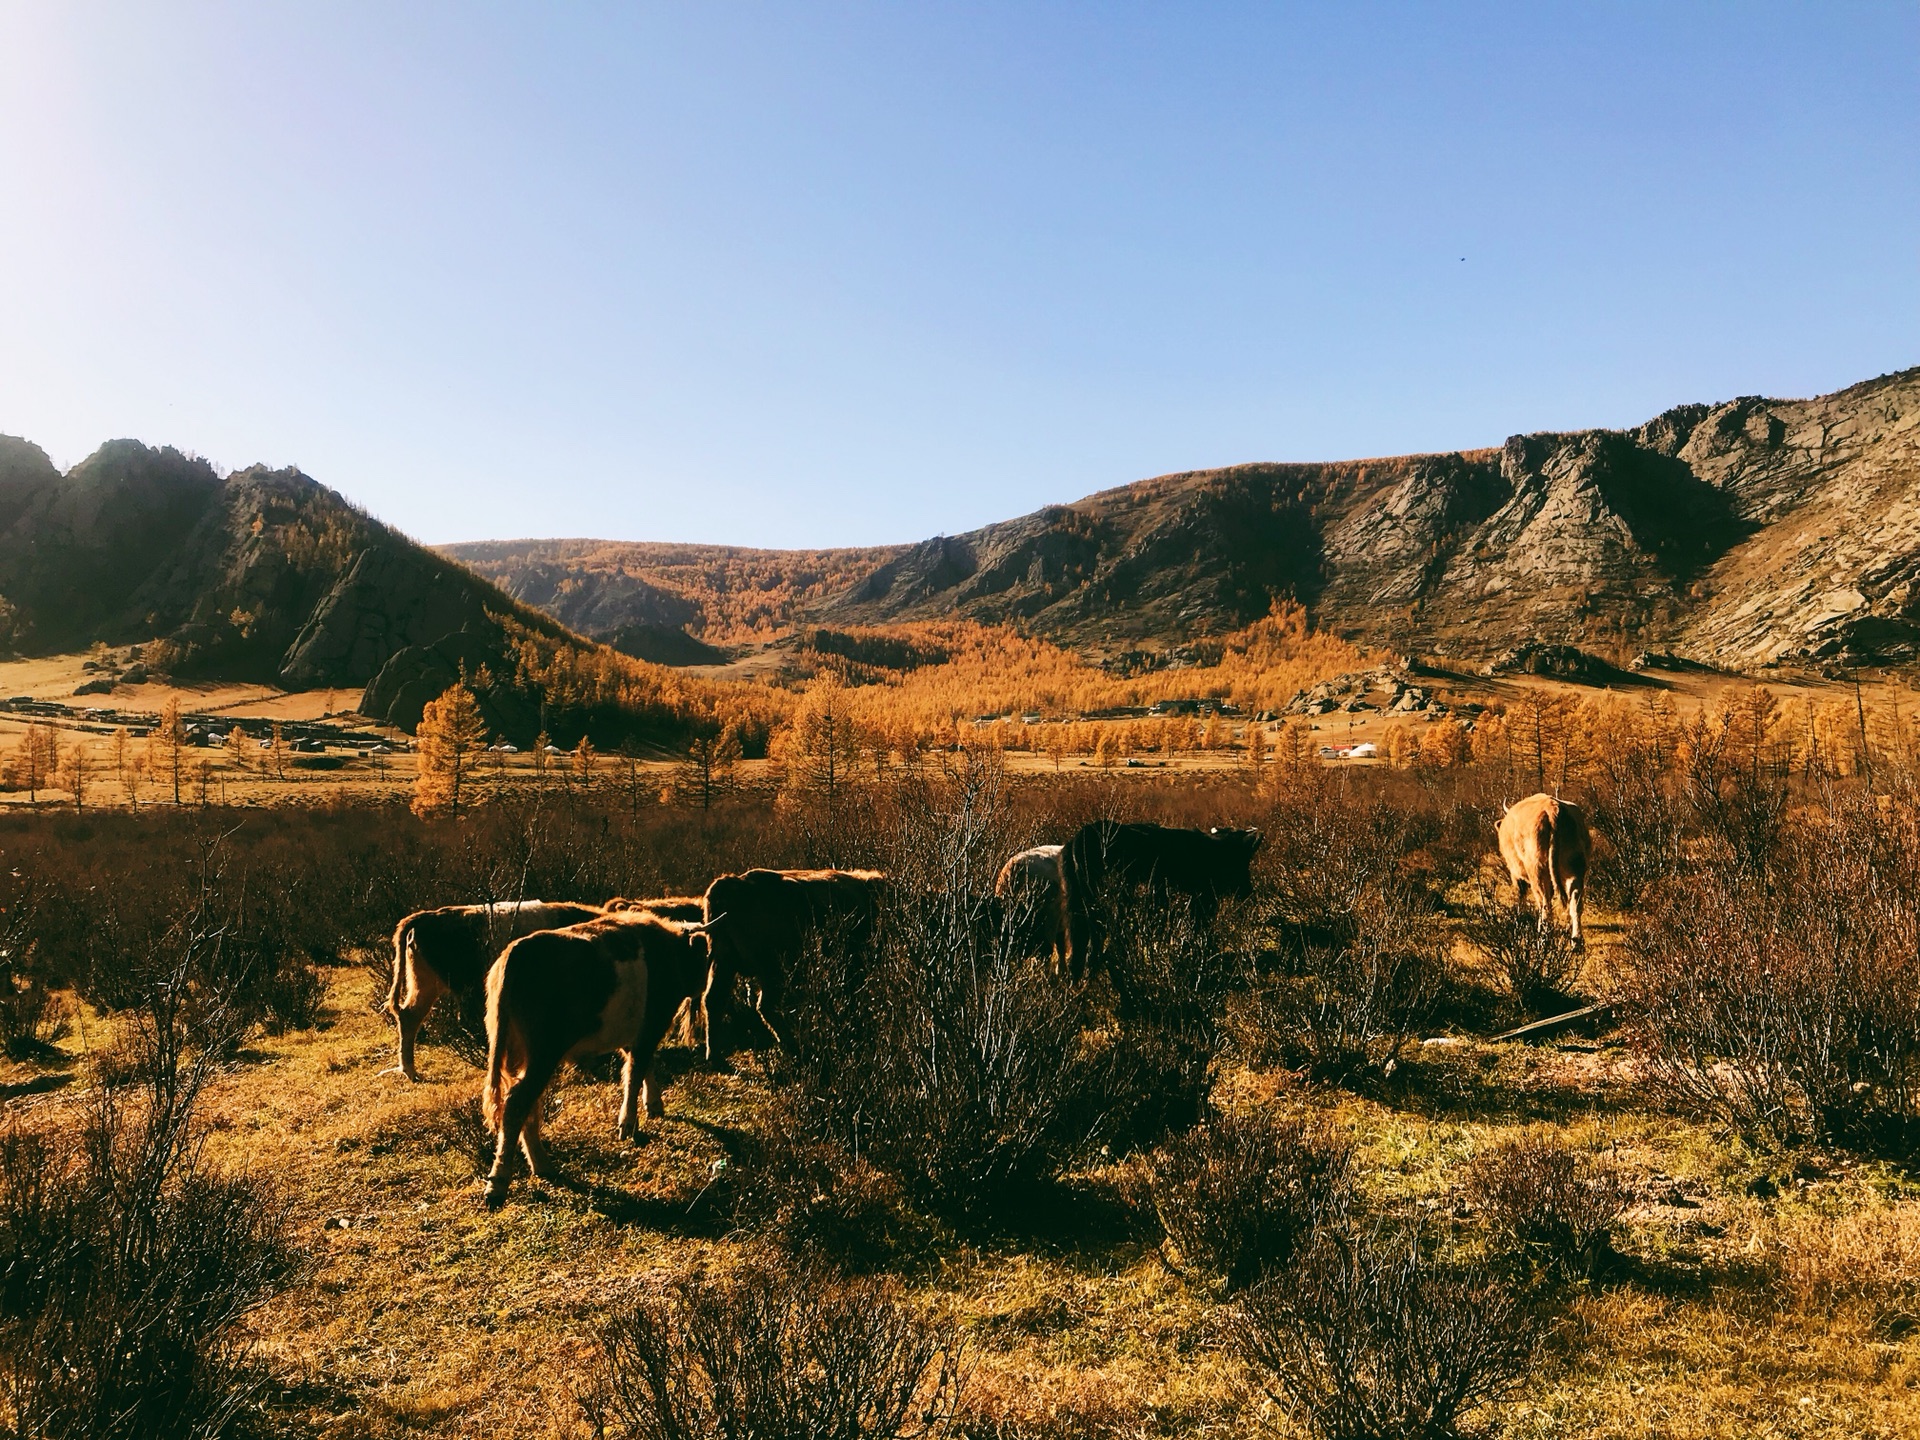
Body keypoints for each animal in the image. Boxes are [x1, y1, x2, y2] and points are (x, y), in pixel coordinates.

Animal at [483, 913, 718, 1205]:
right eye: (704, 955)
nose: (703, 985)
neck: (669, 950)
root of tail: (518, 951)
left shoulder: (634, 1034)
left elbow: (643, 1066)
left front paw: (653, 1104)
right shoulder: (652, 1023)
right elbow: (635, 1071)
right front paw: (628, 1123)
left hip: (518, 1053)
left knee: (527, 1103)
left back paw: (540, 1165)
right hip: (543, 1053)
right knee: (518, 1102)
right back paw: (502, 1182)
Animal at [1059, 821, 1267, 983]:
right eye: (1242, 859)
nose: (1248, 891)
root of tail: (1079, 839)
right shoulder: (1202, 898)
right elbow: (1200, 930)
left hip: (1081, 907)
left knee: (1080, 950)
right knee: (1096, 946)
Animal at [1497, 794, 1589, 952]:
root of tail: (1552, 809)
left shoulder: (1515, 873)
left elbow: (1520, 894)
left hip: (1537, 872)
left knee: (1545, 904)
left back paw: (1543, 939)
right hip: (1575, 868)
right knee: (1575, 902)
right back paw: (1576, 942)